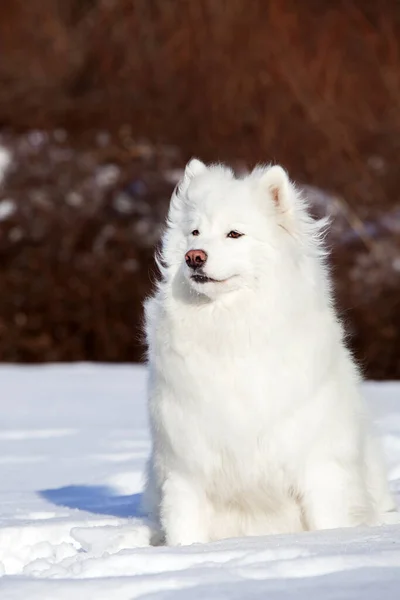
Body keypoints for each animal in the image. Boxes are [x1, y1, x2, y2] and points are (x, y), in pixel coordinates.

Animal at [141, 158, 396, 544]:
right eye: (195, 233)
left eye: (234, 234)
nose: (193, 257)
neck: (231, 329)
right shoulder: (186, 467)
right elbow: (185, 528)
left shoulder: (318, 466)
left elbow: (328, 521)